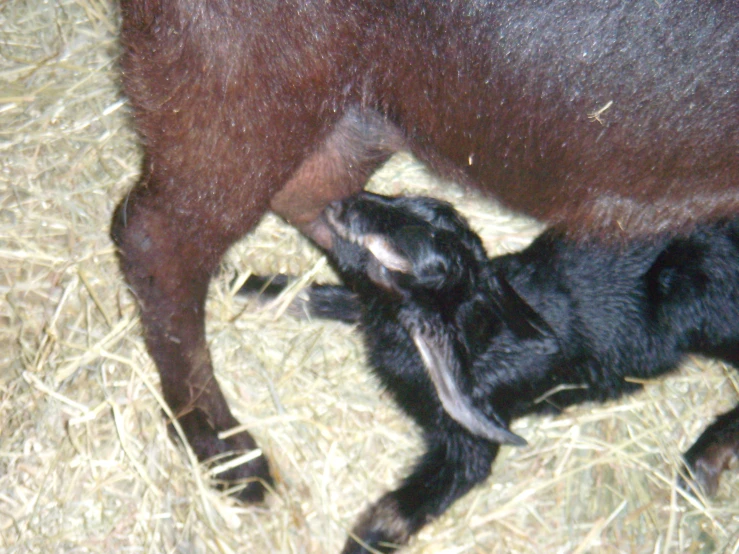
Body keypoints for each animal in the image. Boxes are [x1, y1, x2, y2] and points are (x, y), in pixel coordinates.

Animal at [243, 192, 739, 548]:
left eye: (395, 250)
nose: (337, 204)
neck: (480, 334)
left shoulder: (471, 441)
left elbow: (398, 511)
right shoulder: (376, 313)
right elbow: (323, 297)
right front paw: (251, 288)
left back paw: (701, 466)